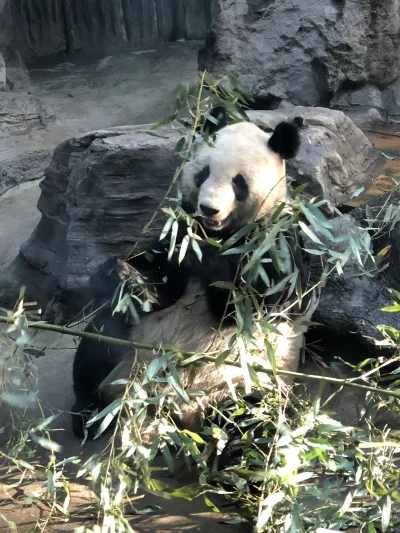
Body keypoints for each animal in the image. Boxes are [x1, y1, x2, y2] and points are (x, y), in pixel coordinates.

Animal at [71, 118, 316, 442]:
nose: (209, 209)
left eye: (239, 182)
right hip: (131, 343)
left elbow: (244, 307)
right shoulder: (171, 231)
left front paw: (197, 248)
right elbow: (162, 289)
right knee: (98, 342)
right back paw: (85, 415)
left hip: (242, 381)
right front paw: (119, 272)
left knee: (251, 419)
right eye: (204, 173)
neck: (222, 233)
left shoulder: (275, 244)